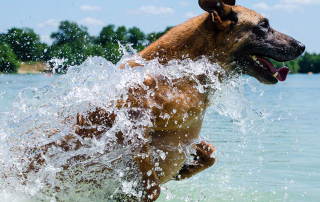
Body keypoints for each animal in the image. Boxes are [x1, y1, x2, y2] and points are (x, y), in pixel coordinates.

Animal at [23, 0, 304, 201]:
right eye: (263, 25)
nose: (302, 46)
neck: (184, 71)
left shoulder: (184, 133)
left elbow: (211, 153)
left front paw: (187, 169)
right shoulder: (124, 123)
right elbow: (150, 183)